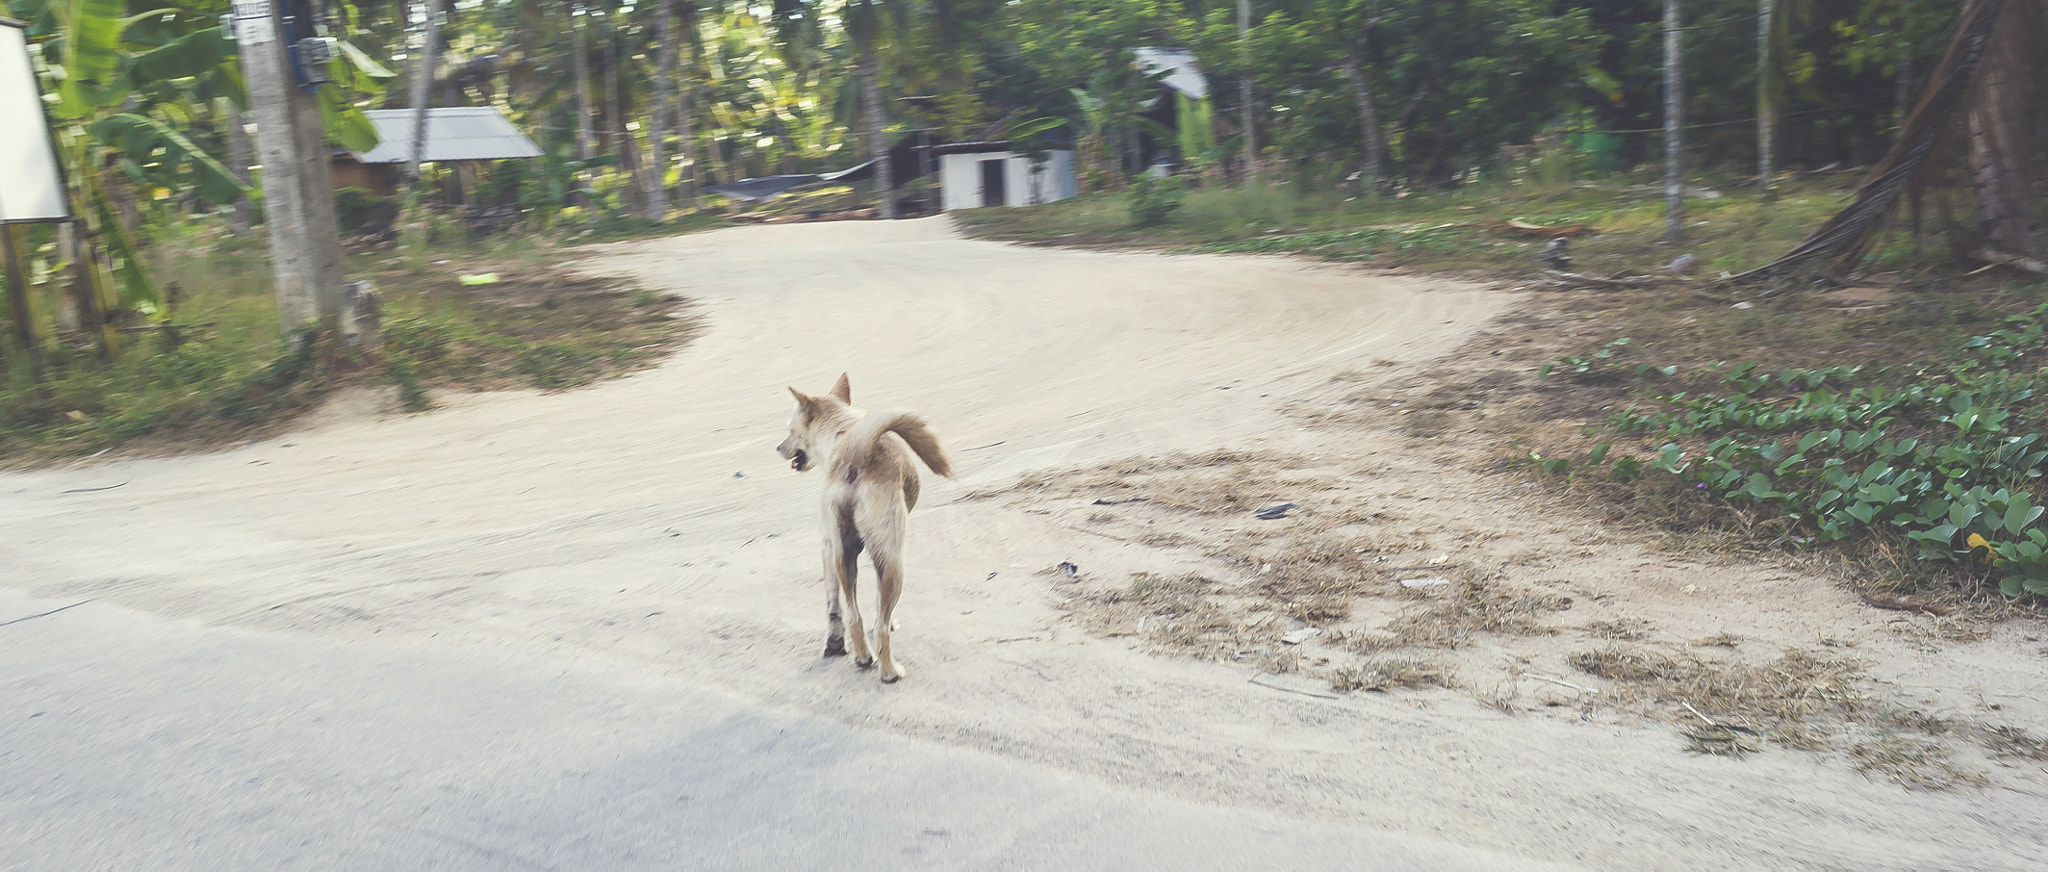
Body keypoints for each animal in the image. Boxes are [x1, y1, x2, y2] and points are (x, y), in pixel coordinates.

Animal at [774, 372, 950, 679]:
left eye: (790, 429)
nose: (778, 448)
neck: (841, 431)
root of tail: (856, 453)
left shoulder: (827, 546)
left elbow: (834, 604)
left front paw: (833, 643)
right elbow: (881, 607)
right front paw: (888, 621)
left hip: (843, 555)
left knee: (853, 615)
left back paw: (861, 656)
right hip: (893, 560)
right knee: (879, 628)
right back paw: (889, 672)